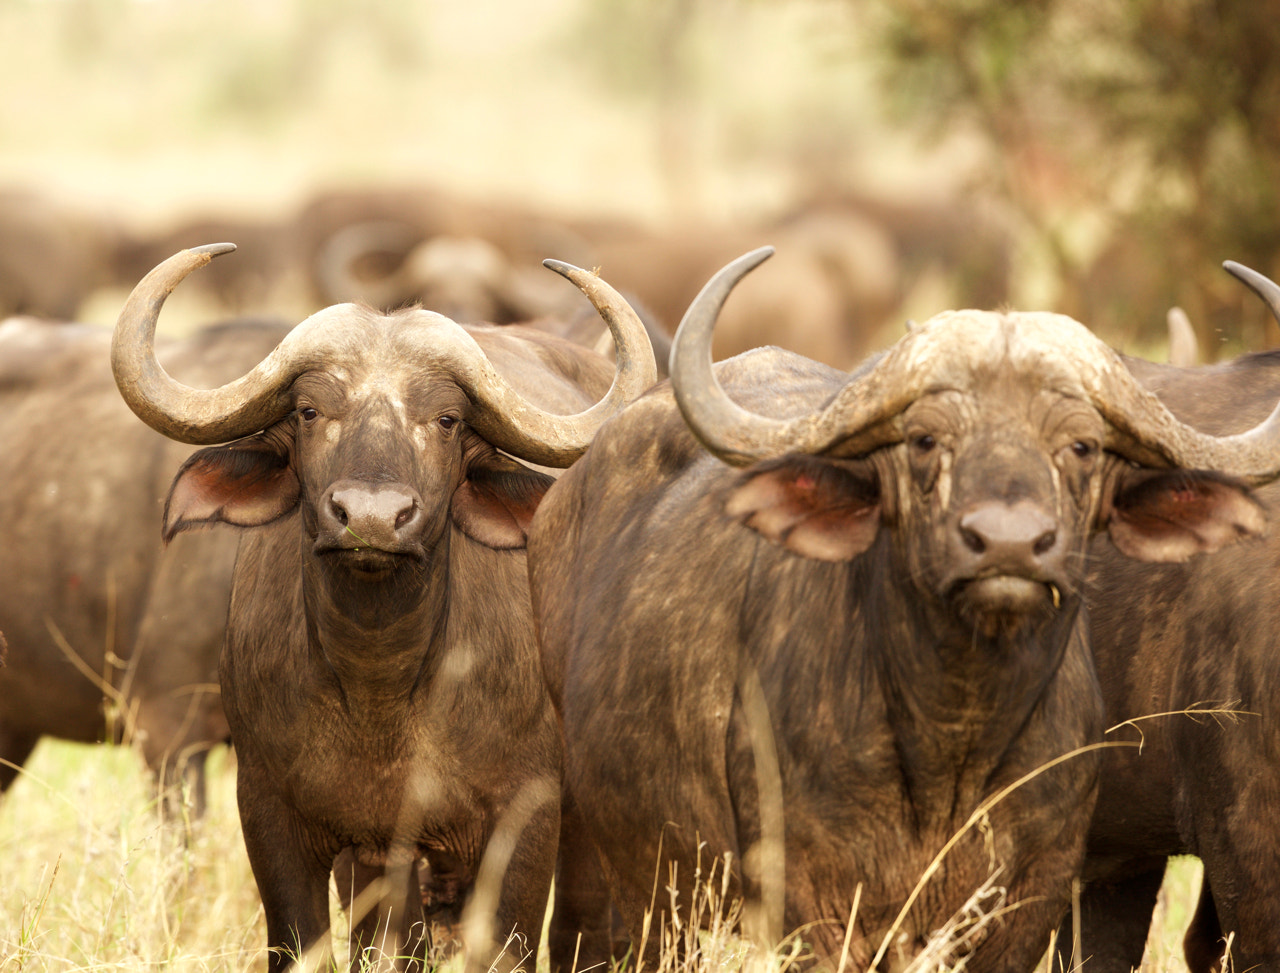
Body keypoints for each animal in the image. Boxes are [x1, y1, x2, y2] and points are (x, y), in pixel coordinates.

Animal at [110, 244, 656, 971]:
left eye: (447, 419)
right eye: (310, 411)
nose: (371, 517)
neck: (380, 687)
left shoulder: (527, 819)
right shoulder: (275, 815)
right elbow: (307, 943)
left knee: (585, 925)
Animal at [529, 249, 1280, 971]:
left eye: (1082, 446)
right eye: (924, 439)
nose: (1009, 544)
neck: (951, 742)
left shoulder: (1033, 897)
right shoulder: (815, 906)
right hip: (648, 883)